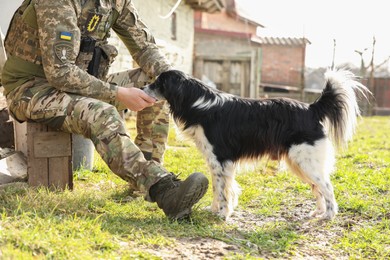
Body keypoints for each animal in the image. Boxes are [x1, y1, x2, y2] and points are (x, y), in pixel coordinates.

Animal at [142, 69, 368, 219]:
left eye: (158, 83)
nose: (142, 87)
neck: (198, 103)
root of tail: (311, 108)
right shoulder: (216, 162)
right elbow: (218, 188)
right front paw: (214, 210)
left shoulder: (221, 160)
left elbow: (223, 190)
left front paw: (222, 214)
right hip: (299, 163)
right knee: (318, 188)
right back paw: (318, 212)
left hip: (306, 161)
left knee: (327, 187)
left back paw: (328, 215)